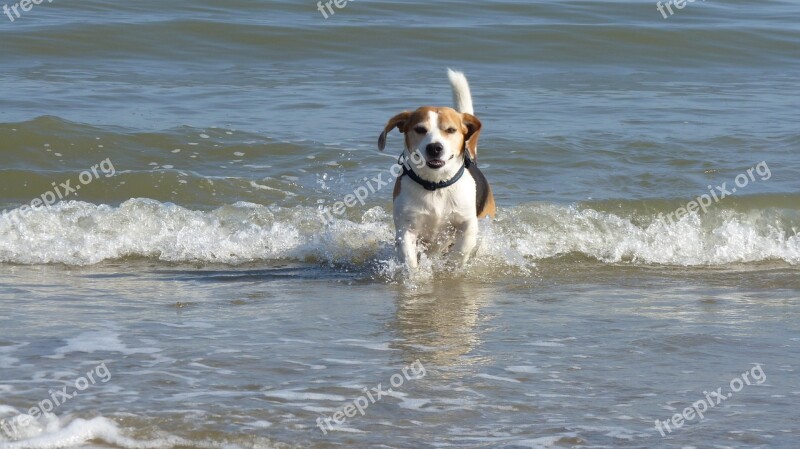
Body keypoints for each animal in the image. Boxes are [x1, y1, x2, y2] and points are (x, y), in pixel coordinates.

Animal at [376, 68, 494, 268]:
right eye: (420, 129)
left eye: (451, 130)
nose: (435, 148)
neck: (435, 185)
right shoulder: (406, 228)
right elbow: (409, 259)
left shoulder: (468, 223)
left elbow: (462, 248)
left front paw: (451, 265)